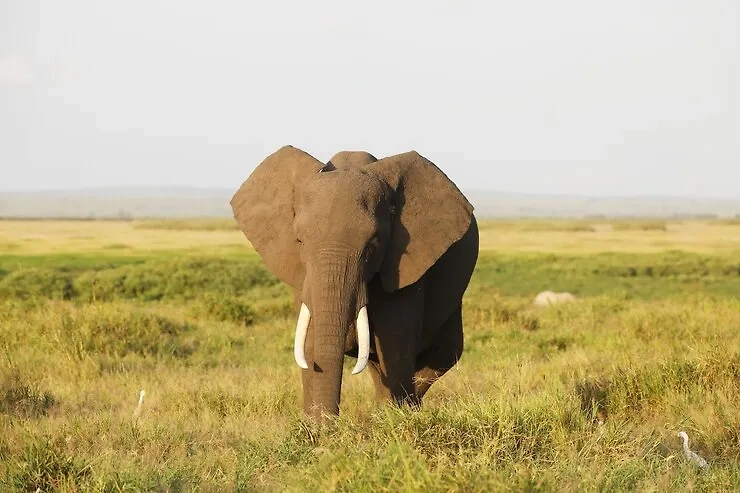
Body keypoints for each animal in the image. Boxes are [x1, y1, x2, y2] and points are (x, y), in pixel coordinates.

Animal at [231, 143, 480, 418]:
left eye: (374, 243)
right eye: (299, 241)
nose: (327, 423)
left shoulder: (403, 266)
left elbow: (395, 343)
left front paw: (395, 419)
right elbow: (311, 340)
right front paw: (315, 426)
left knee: (442, 355)